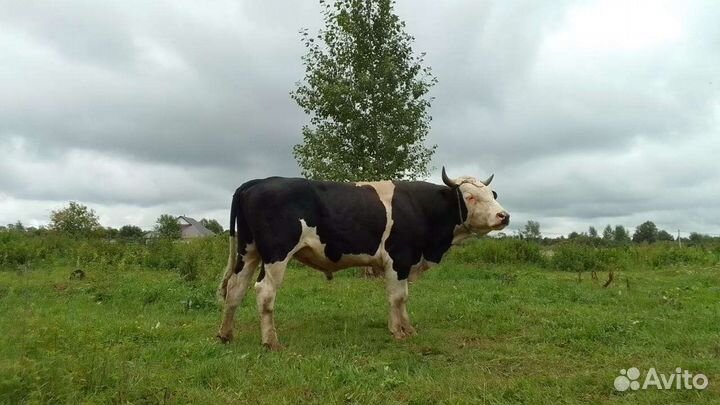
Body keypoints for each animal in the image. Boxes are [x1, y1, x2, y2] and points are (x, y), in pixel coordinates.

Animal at [216, 167, 509, 349]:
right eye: (470, 197)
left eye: (491, 195)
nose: (503, 216)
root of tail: (259, 181)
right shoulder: (398, 258)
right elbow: (397, 297)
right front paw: (398, 332)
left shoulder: (407, 262)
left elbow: (404, 297)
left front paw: (408, 329)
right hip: (276, 254)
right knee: (264, 292)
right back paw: (271, 341)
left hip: (248, 250)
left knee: (236, 288)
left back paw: (225, 334)